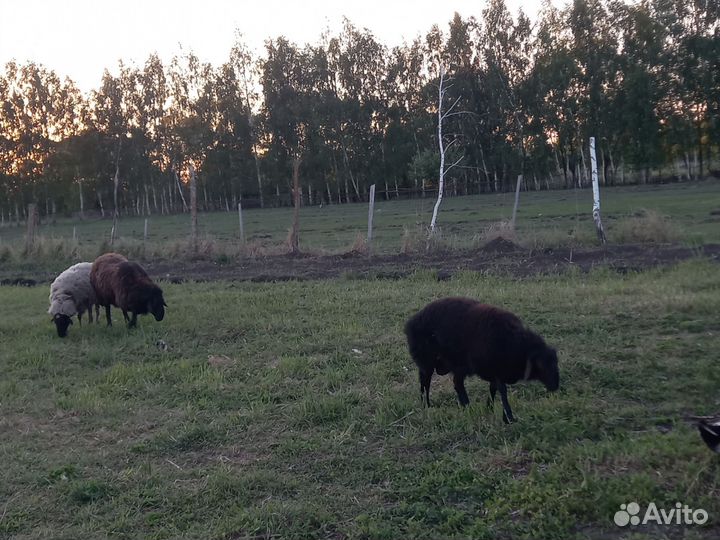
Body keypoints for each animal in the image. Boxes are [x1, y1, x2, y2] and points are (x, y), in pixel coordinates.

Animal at [404, 297, 559, 423]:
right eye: (541, 365)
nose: (555, 386)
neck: (516, 345)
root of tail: (411, 322)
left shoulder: (496, 372)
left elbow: (493, 389)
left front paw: (490, 408)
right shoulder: (494, 370)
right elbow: (502, 390)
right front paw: (508, 417)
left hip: (455, 365)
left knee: (456, 384)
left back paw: (466, 407)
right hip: (427, 361)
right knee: (426, 383)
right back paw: (428, 405)